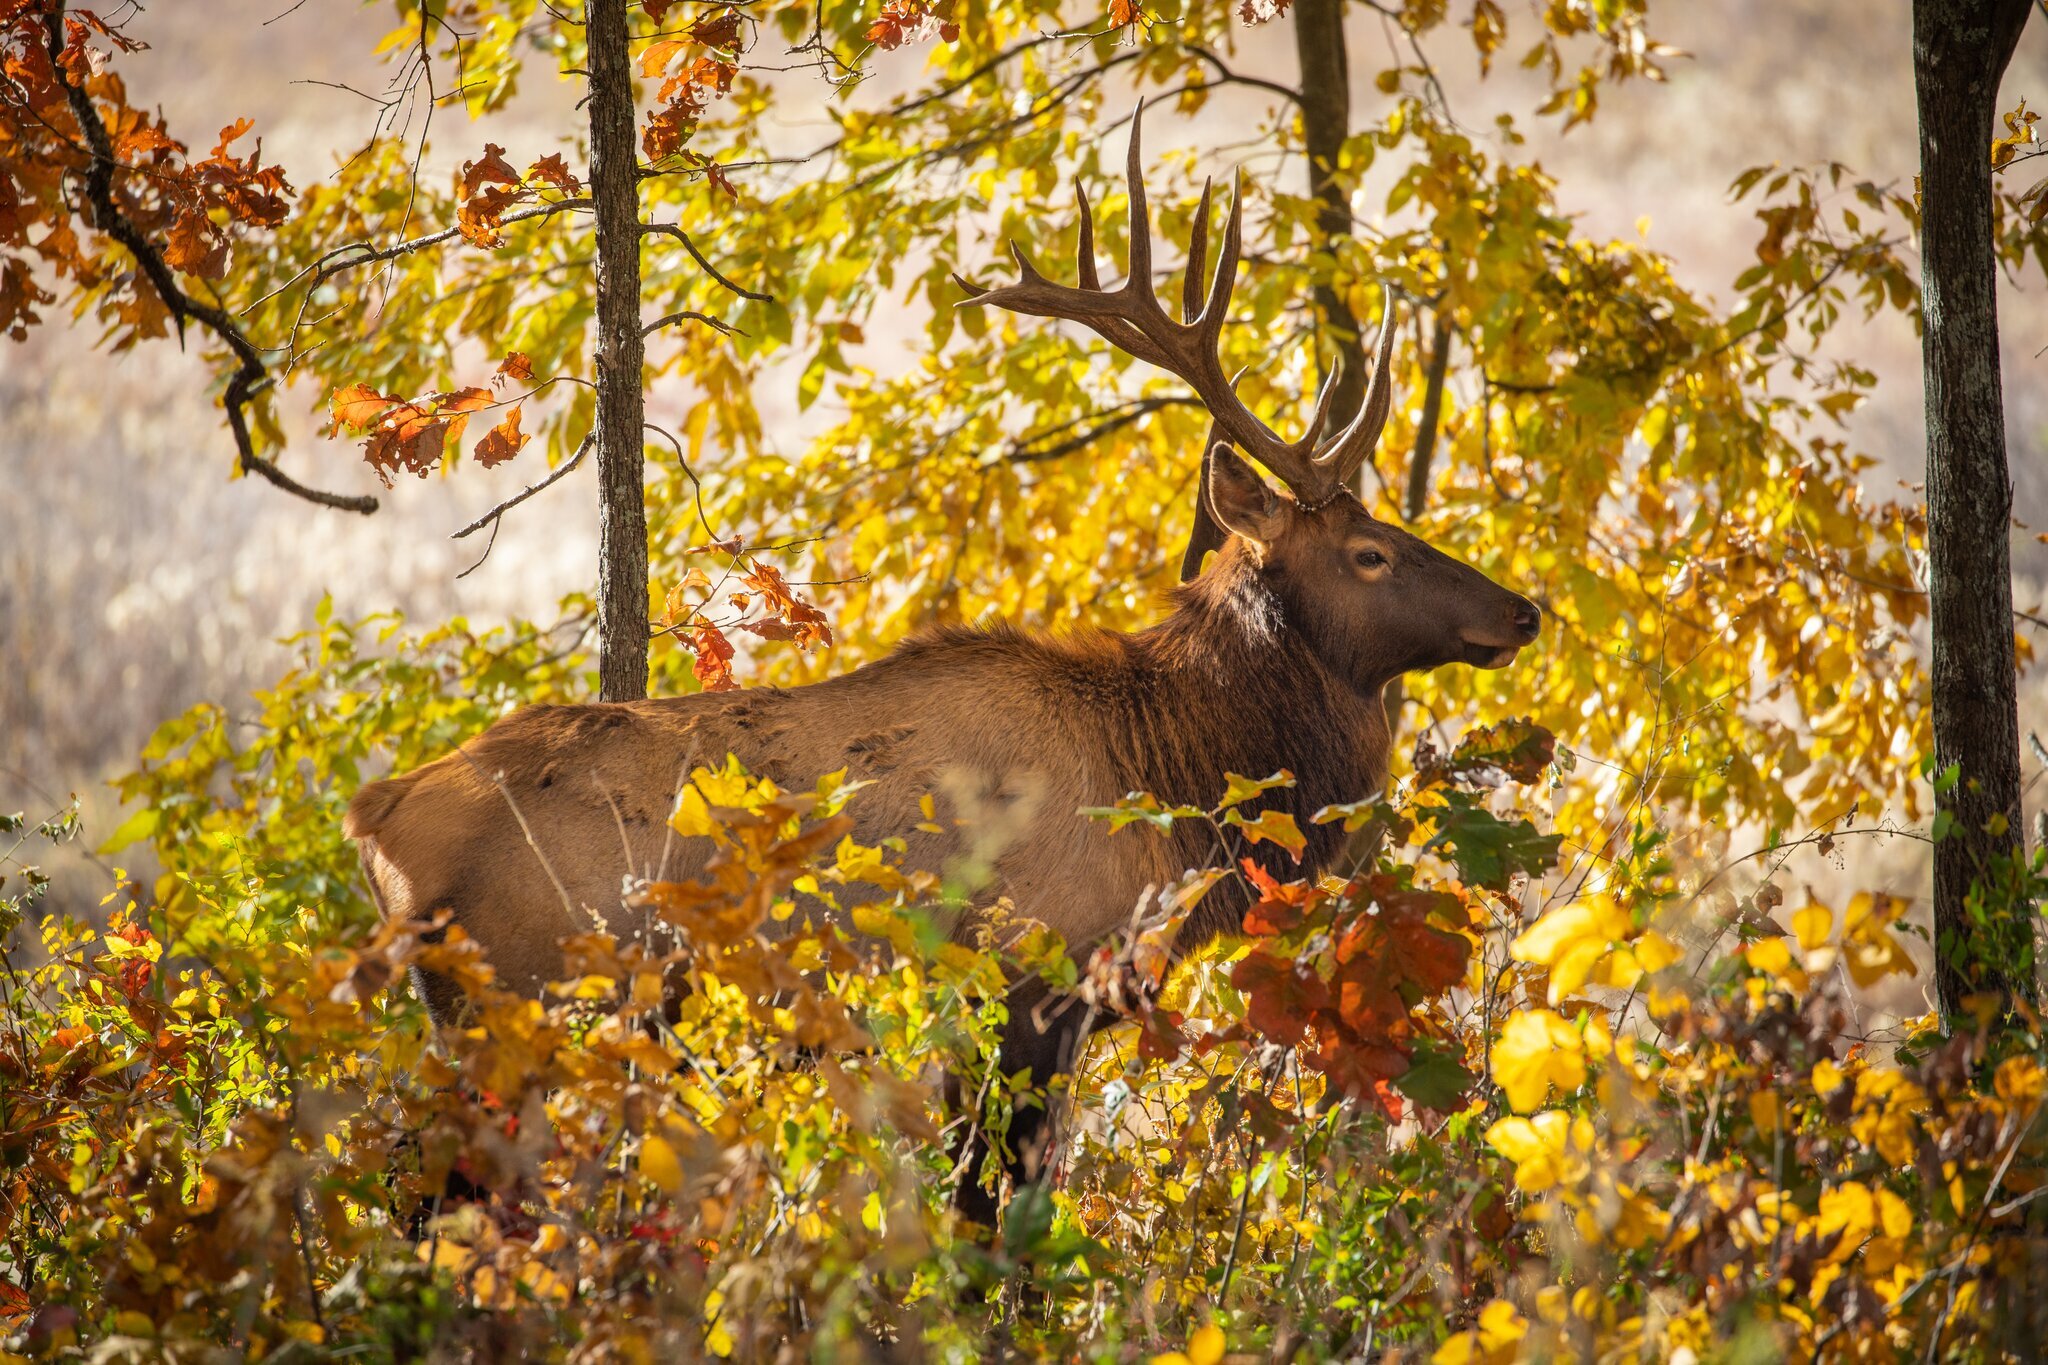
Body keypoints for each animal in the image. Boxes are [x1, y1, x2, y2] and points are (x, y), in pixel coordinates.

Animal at [343, 108, 1542, 1229]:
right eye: (1369, 552)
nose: (1522, 610)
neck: (1170, 782)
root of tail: (376, 816)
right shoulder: (1027, 974)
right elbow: (989, 1215)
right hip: (520, 1001)